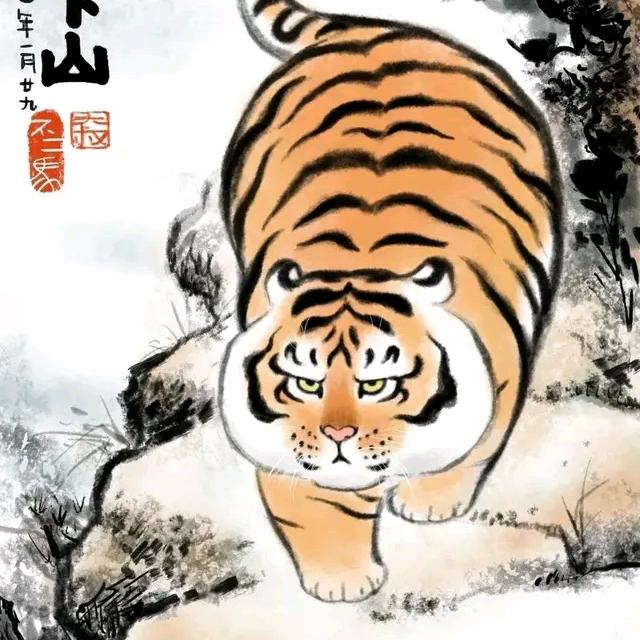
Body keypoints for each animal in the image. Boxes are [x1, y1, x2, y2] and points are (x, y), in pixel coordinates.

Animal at [217, 0, 563, 602]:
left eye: (377, 384)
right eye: (304, 383)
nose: (338, 436)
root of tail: (371, 30)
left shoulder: (499, 374)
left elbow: (473, 444)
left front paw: (428, 502)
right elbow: (314, 498)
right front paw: (341, 579)